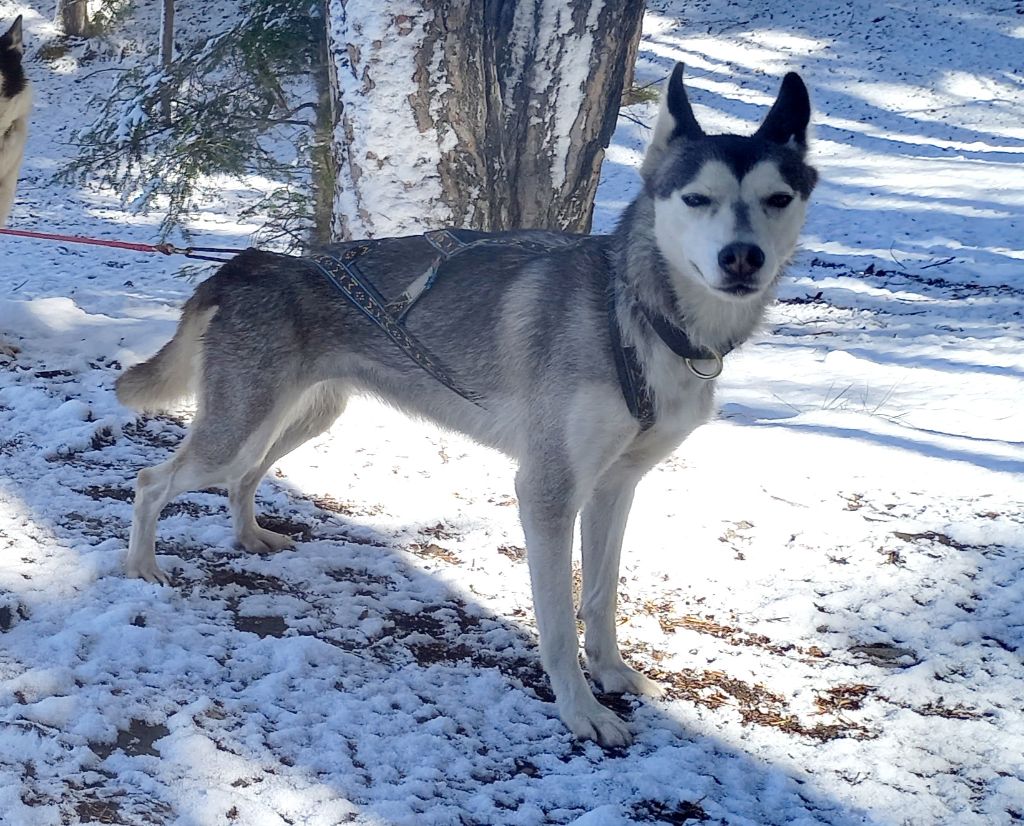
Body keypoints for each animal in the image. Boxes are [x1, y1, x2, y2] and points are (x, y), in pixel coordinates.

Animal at [117, 64, 815, 745]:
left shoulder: (616, 487)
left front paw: (613, 673)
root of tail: (247, 264)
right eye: (697, 198)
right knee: (153, 481)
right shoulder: (548, 492)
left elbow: (600, 600)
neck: (639, 317)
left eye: (777, 199)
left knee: (242, 479)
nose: (742, 258)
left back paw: (248, 536)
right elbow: (558, 625)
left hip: (300, 420)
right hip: (237, 428)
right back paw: (143, 566)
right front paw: (581, 711)